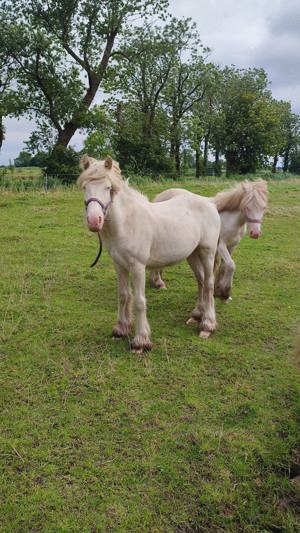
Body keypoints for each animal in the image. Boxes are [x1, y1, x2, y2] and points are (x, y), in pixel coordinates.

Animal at [78, 156, 221, 352]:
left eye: (108, 188)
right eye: (85, 187)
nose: (94, 221)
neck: (127, 222)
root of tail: (210, 202)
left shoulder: (138, 266)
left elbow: (139, 301)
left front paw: (140, 341)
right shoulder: (119, 264)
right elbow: (123, 295)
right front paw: (120, 330)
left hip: (207, 252)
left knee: (209, 284)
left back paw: (207, 325)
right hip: (192, 254)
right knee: (200, 281)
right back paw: (197, 315)